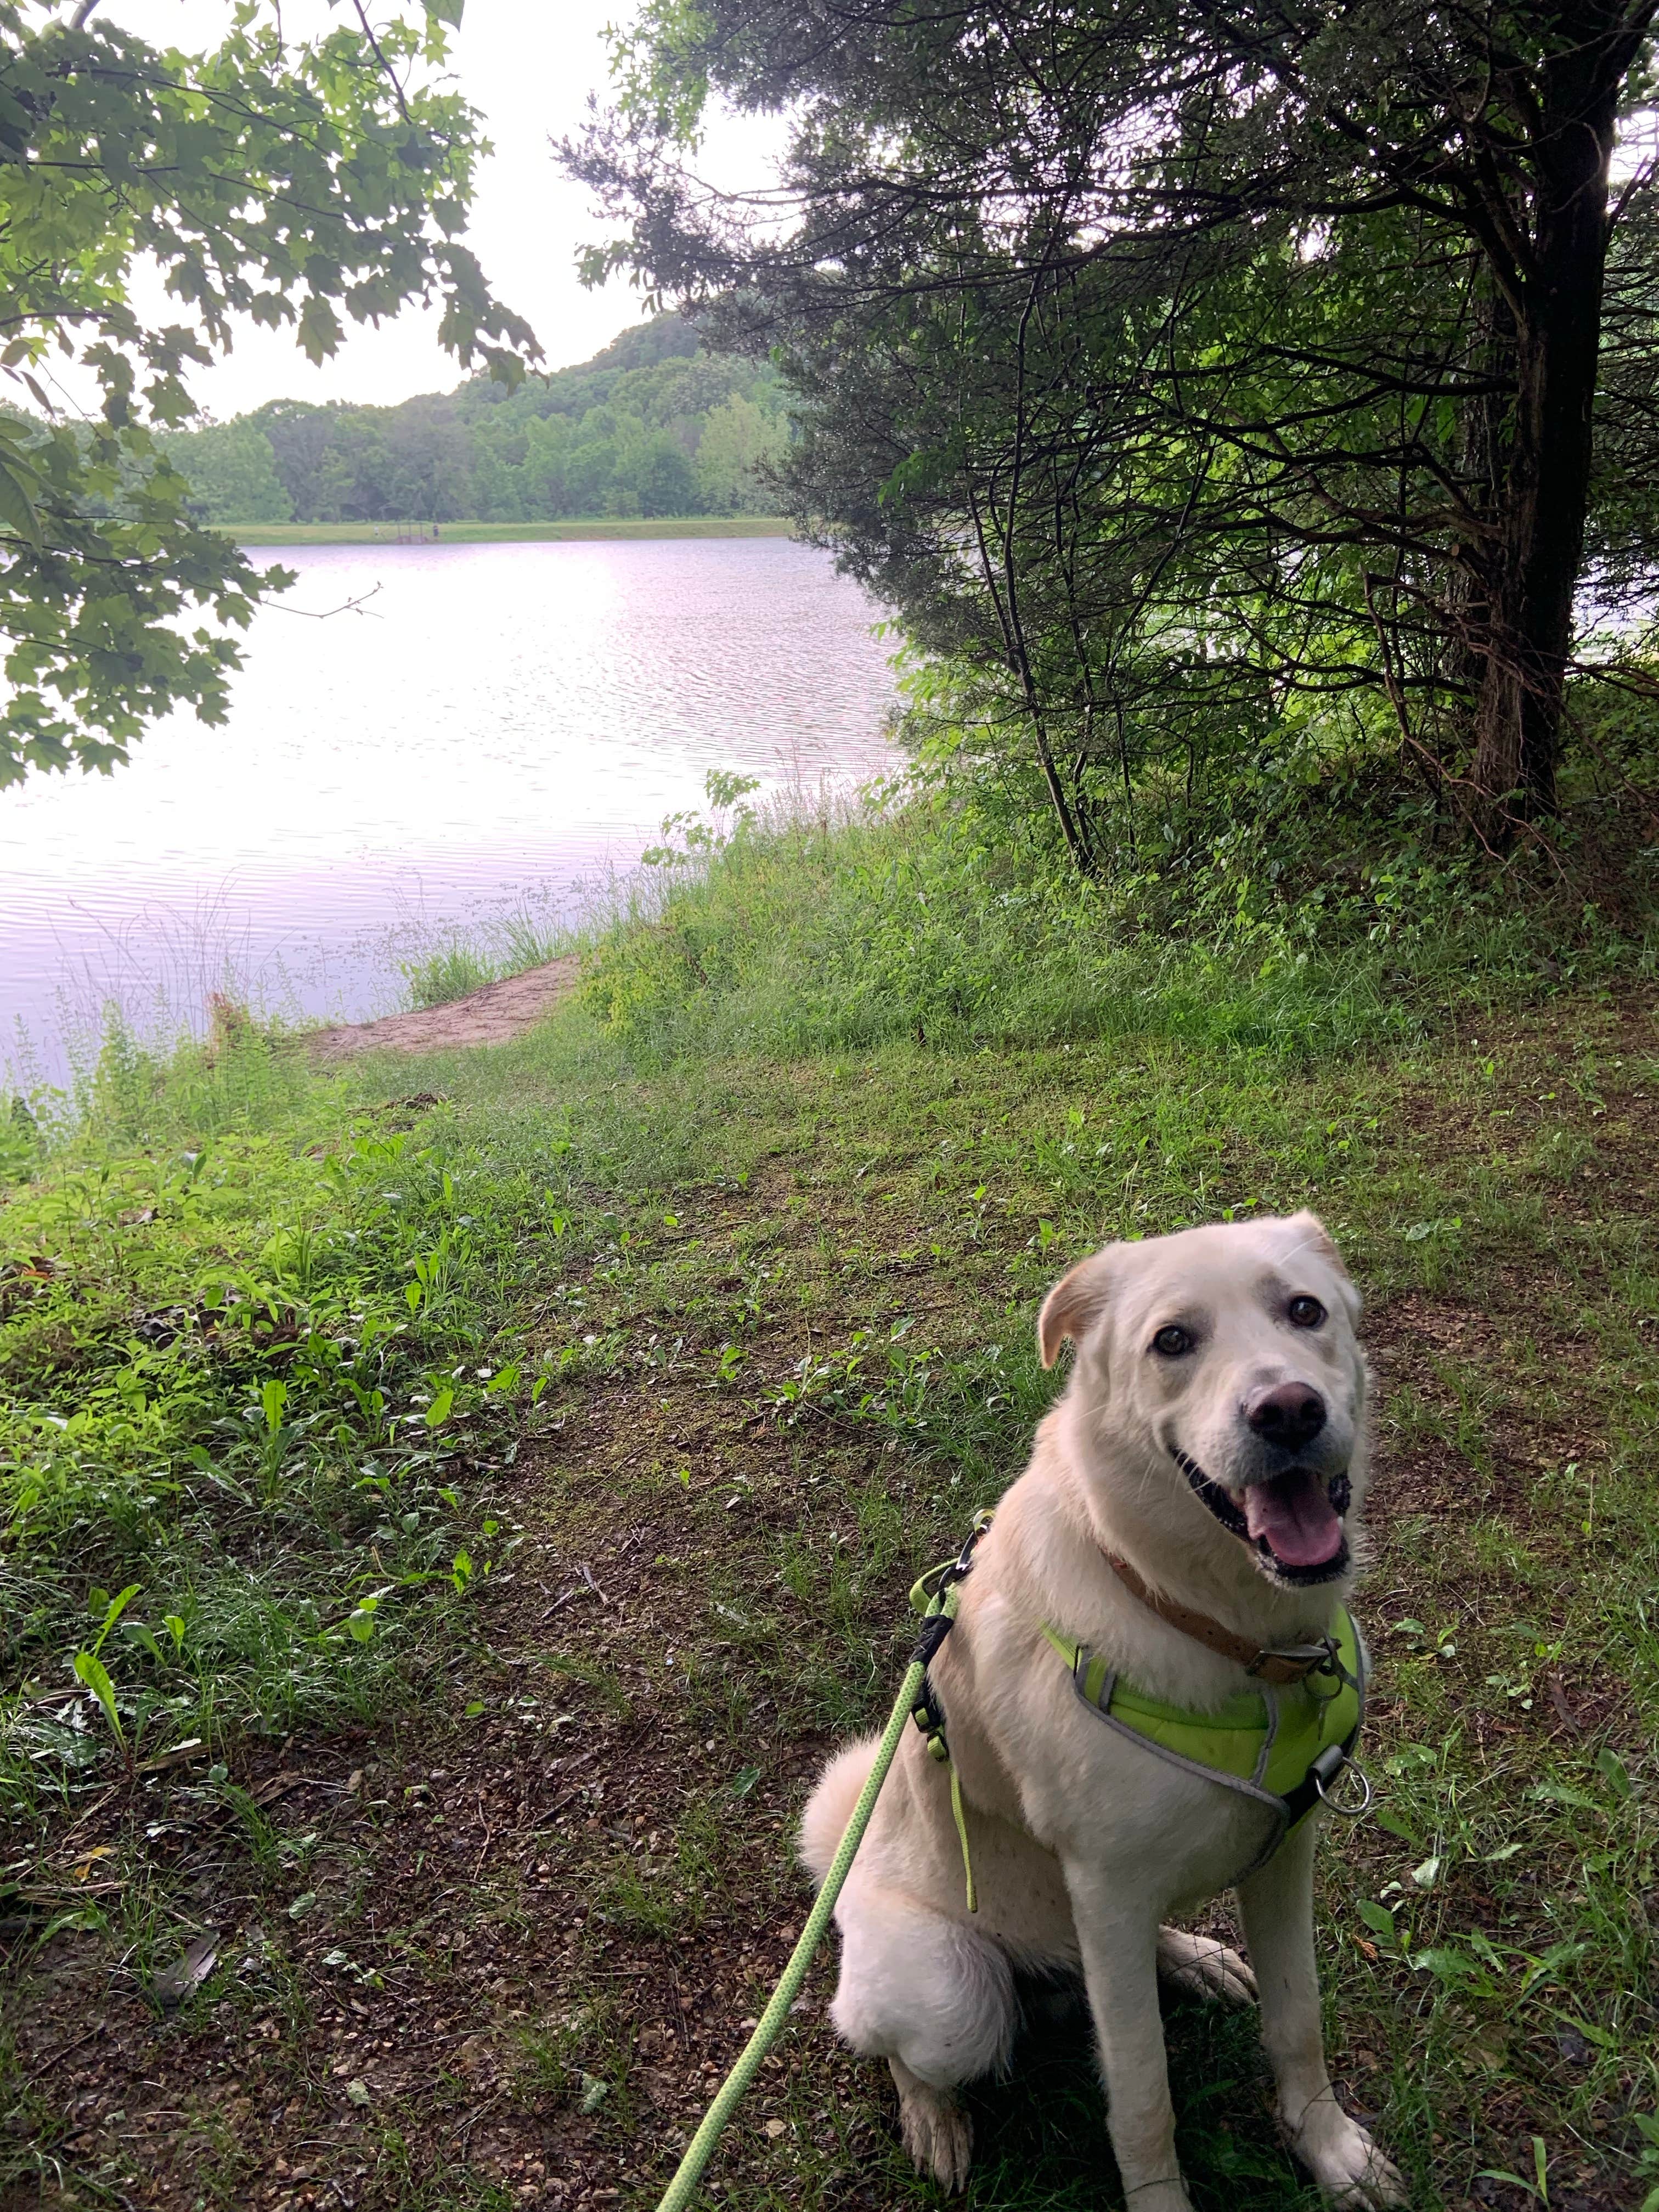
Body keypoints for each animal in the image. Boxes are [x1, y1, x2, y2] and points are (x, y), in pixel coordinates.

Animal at [800, 1221, 1407, 2203]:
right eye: (1173, 1342)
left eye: (1305, 1311)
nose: (1288, 1411)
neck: (1228, 1636)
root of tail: (845, 1871)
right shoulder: (1108, 1892)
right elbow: (1144, 2096)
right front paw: (1166, 2201)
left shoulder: (1285, 1858)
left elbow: (1299, 2021)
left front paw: (1329, 2148)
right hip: (953, 1994)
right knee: (892, 2045)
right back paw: (934, 2119)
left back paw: (1192, 1956)